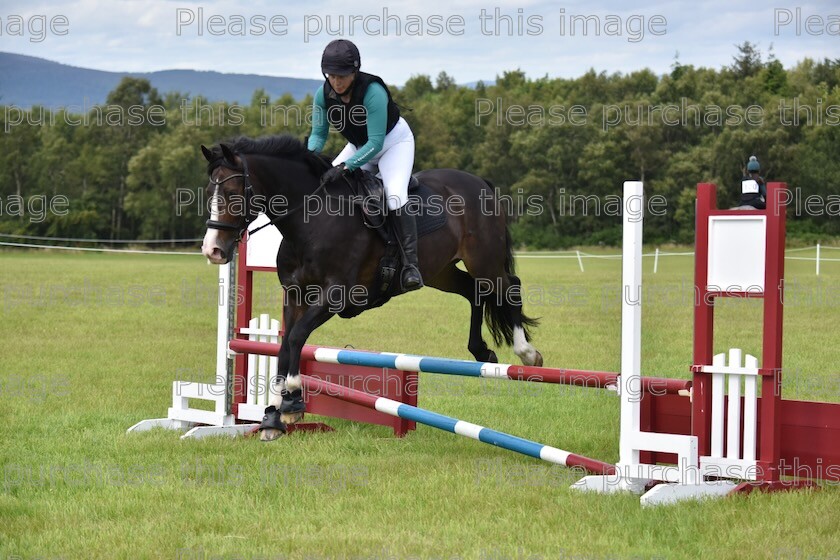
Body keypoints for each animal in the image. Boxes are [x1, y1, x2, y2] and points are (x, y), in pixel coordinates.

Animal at [202, 136, 544, 442]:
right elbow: (285, 345)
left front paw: (293, 401)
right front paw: (274, 415)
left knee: (507, 288)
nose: (213, 250)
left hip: (484, 261)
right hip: (440, 271)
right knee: (474, 292)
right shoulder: (295, 295)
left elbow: (297, 337)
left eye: (231, 192)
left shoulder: (336, 295)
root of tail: (479, 182)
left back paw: (527, 353)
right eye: (208, 192)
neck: (311, 221)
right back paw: (481, 350)